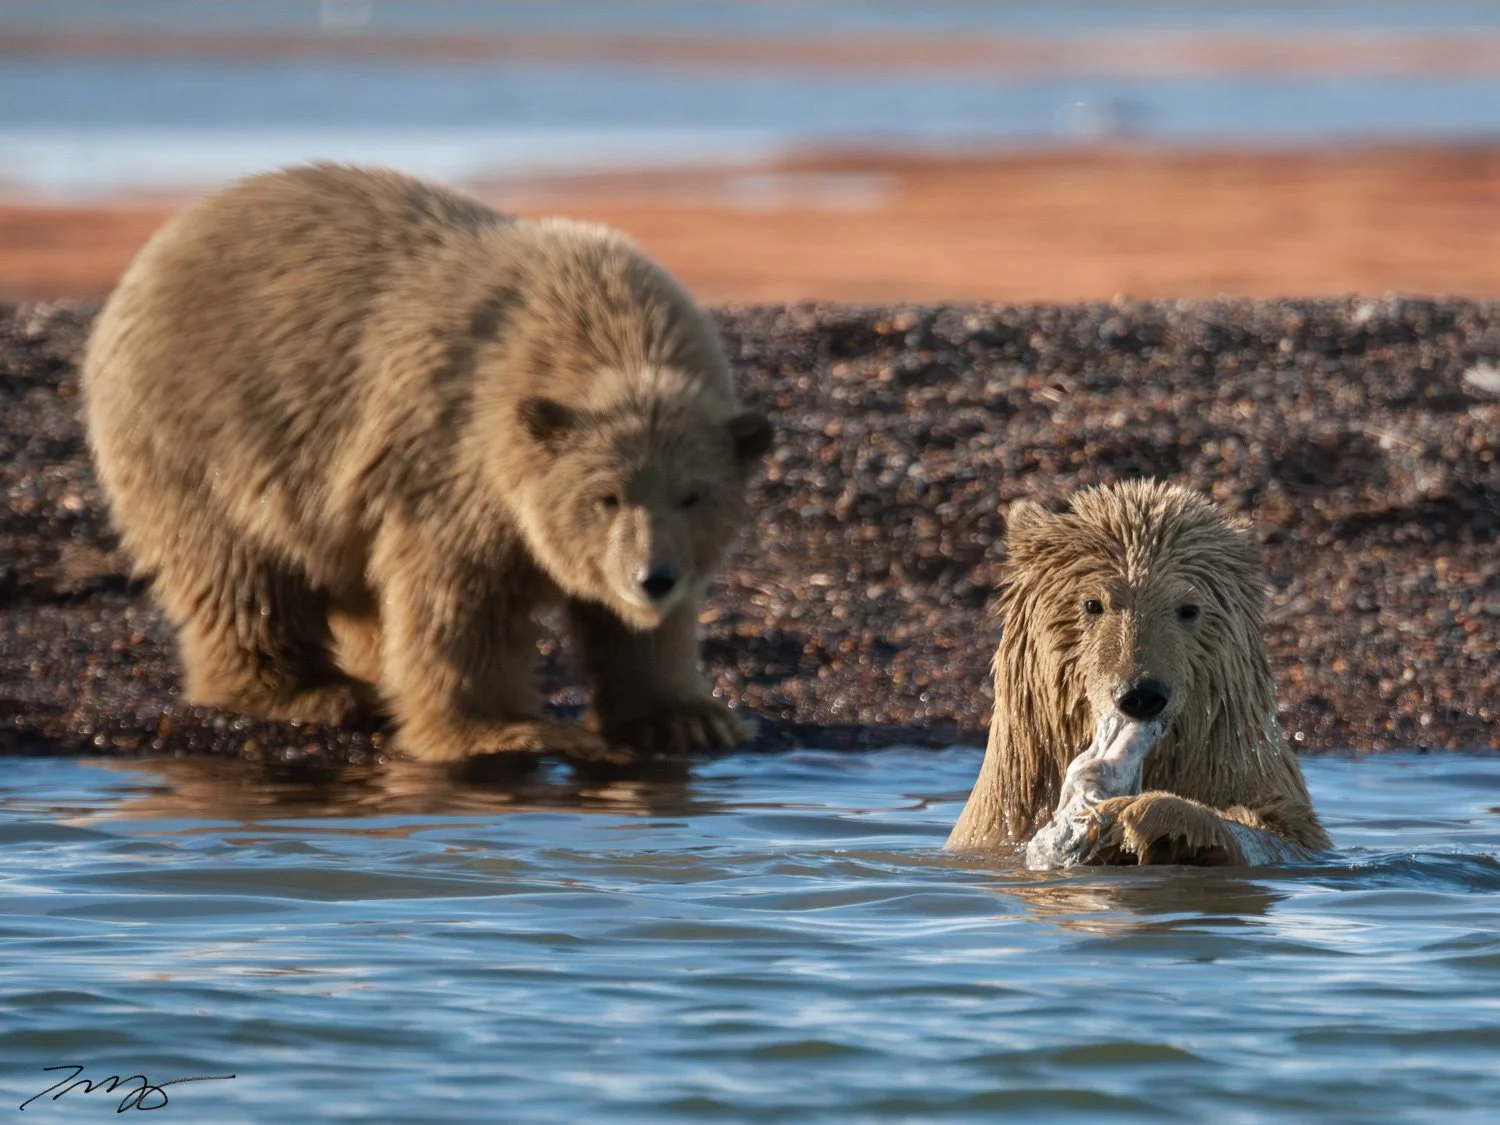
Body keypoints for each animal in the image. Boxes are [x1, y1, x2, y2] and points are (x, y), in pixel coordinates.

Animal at [82, 163, 771, 763]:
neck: (607, 329)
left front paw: (688, 718)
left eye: (693, 496)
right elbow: (458, 596)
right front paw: (507, 730)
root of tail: (163, 242)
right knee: (239, 570)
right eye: (606, 496)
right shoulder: (454, 451)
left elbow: (638, 635)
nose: (653, 578)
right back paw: (312, 690)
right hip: (208, 422)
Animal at [946, 479, 1330, 866]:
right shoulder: (996, 824)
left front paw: (1146, 814)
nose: (1142, 695)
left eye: (1188, 609)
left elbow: (1282, 832)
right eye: (1092, 604)